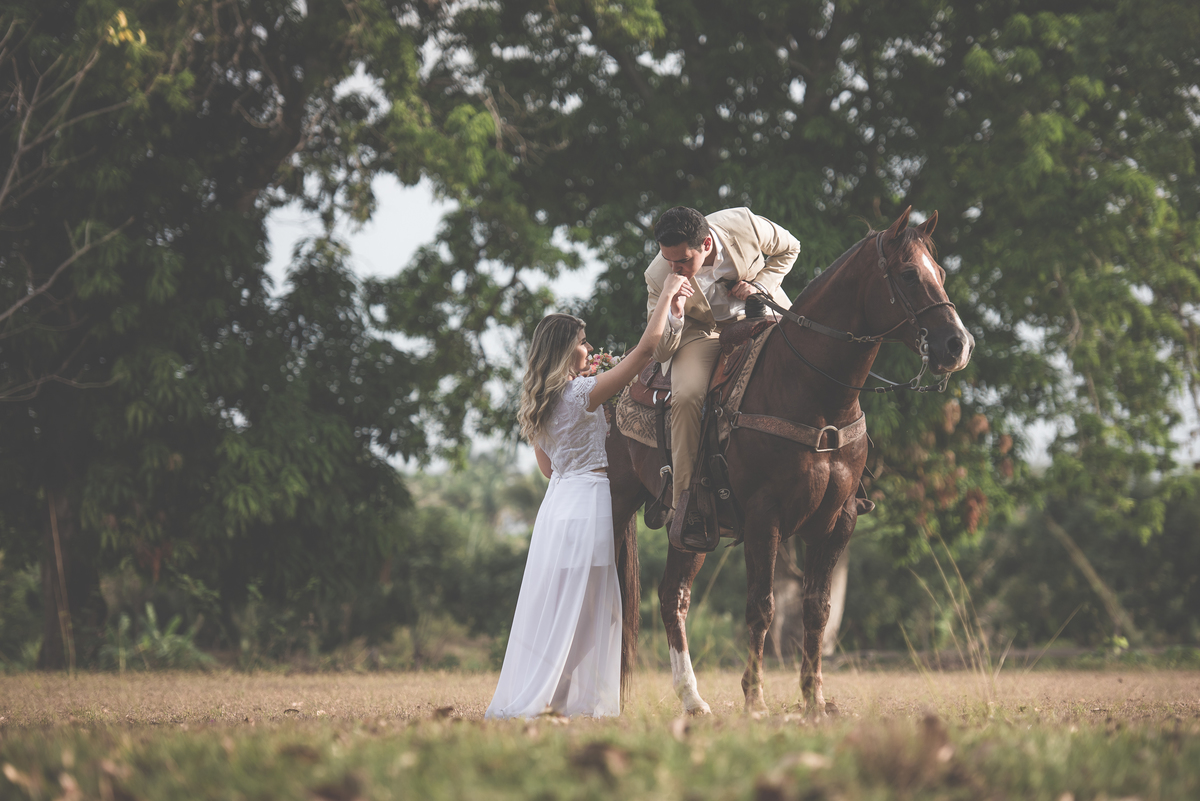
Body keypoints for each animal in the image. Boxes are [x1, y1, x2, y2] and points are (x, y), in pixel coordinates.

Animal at [605, 207, 974, 715]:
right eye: (907, 274)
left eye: (939, 271)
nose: (958, 346)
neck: (815, 396)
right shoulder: (766, 517)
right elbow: (762, 607)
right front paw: (755, 699)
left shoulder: (839, 520)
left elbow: (817, 610)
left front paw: (814, 699)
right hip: (616, 502)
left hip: (693, 528)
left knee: (672, 595)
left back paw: (693, 699)